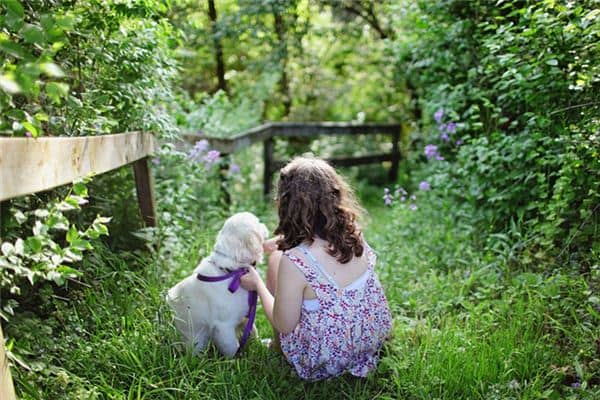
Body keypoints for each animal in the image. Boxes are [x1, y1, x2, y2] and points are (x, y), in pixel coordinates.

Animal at [164, 212, 268, 356]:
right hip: (196, 339)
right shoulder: (224, 326)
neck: (231, 272)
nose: (265, 225)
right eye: (258, 222)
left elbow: (253, 331)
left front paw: (260, 345)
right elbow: (232, 347)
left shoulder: (245, 316)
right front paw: (236, 359)